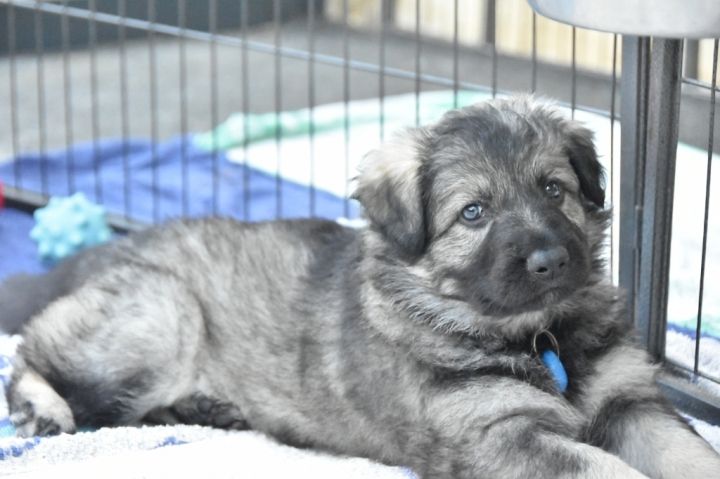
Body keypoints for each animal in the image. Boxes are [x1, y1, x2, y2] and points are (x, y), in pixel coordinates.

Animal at [2, 97, 719, 478]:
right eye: (473, 213)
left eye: (554, 190)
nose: (549, 260)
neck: (537, 335)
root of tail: (103, 250)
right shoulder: (501, 437)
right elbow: (608, 469)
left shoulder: (631, 402)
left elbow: (687, 451)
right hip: (162, 313)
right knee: (33, 352)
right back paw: (44, 410)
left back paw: (205, 407)